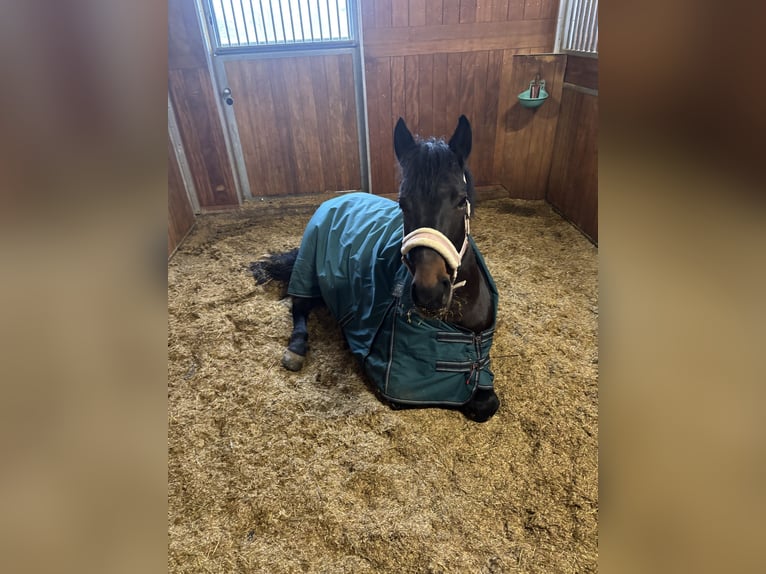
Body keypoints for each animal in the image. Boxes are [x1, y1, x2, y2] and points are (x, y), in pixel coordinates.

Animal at [251, 116, 500, 422]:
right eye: (402, 203)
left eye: (460, 200)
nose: (429, 292)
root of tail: (336, 199)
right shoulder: (397, 386)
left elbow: (487, 403)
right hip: (307, 272)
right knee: (298, 306)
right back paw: (296, 349)